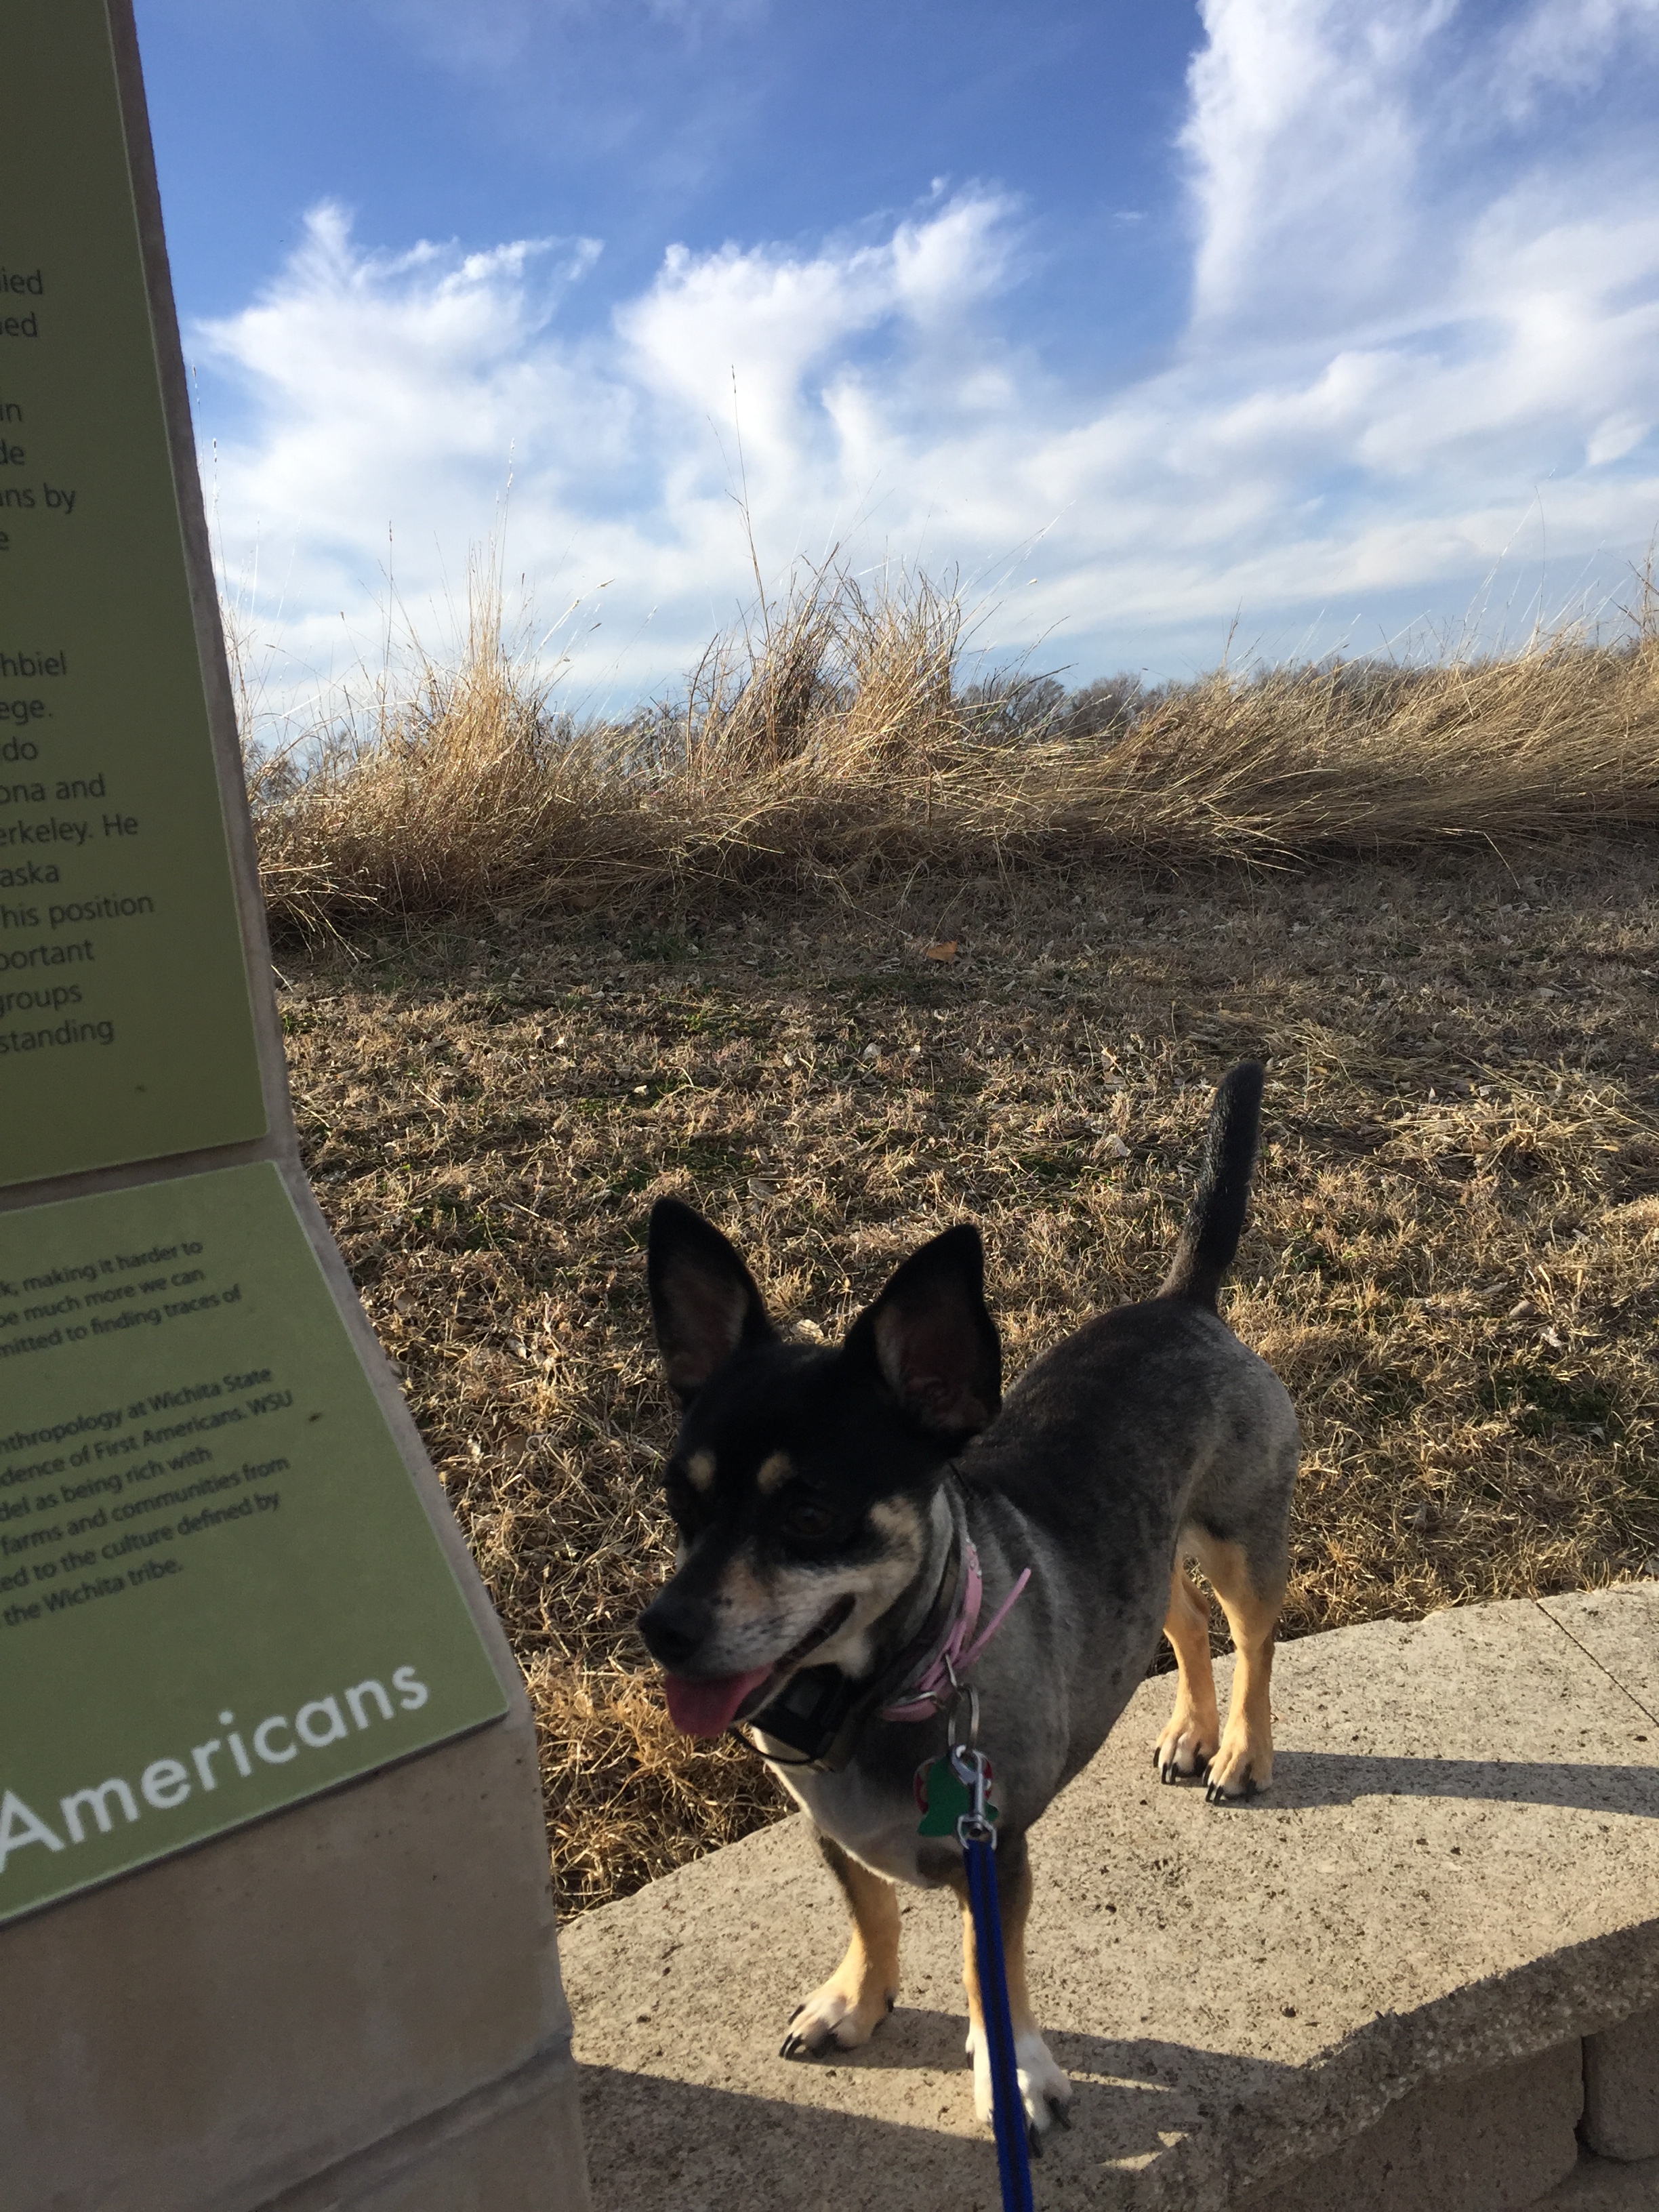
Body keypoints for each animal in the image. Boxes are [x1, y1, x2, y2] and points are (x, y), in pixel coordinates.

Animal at [637, 1061, 1298, 2143]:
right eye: (678, 1503)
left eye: (810, 1513)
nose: (664, 1630)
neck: (880, 1697)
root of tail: (1185, 1301)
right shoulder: (833, 1835)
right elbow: (870, 1911)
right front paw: (856, 2000)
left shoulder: (997, 1853)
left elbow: (990, 1969)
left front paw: (1012, 2071)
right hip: (1144, 1561)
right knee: (1189, 1624)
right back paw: (1189, 1730)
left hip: (1241, 1538)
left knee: (1253, 1638)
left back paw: (1240, 1749)